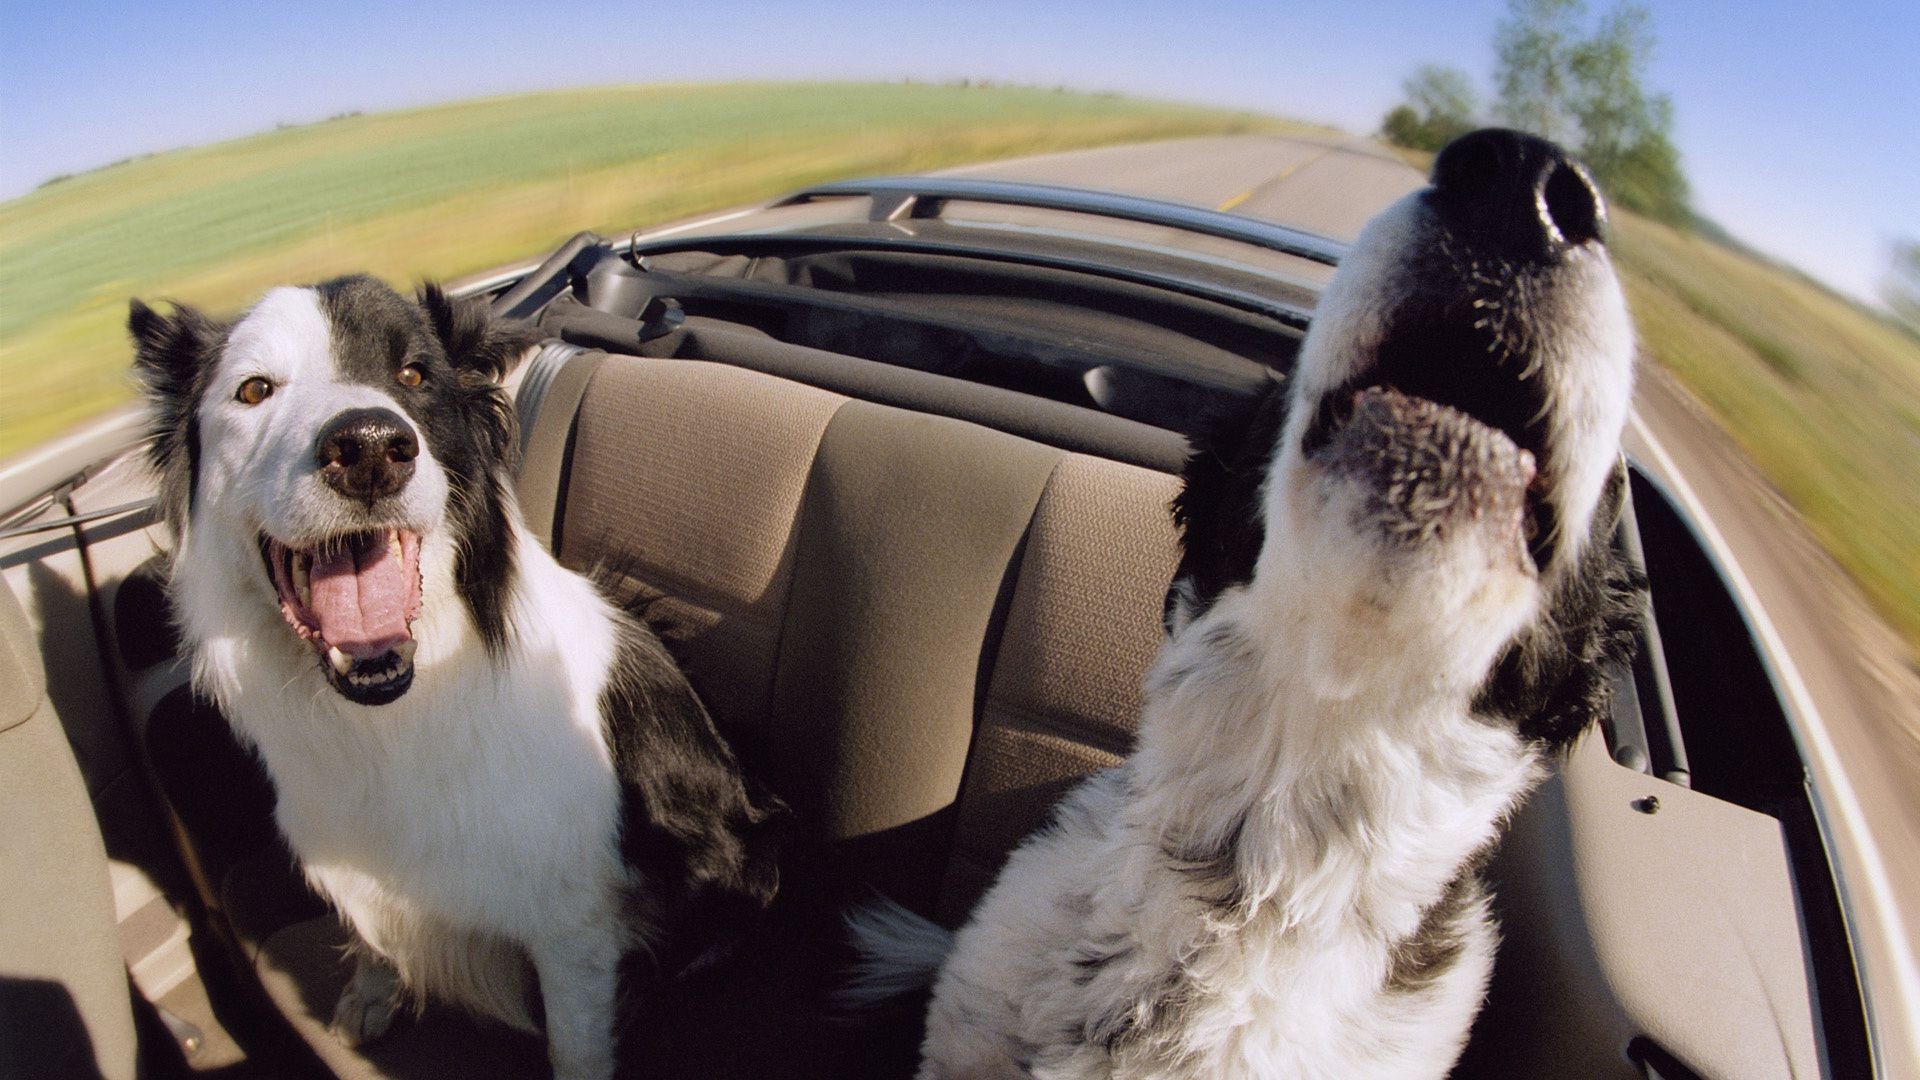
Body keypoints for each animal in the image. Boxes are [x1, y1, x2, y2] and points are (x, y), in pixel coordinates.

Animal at [133, 274, 779, 1076]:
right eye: (255, 390)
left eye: (415, 376)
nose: (369, 449)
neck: (391, 716)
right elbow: (373, 935)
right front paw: (370, 995)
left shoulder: (574, 929)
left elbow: (575, 1046)